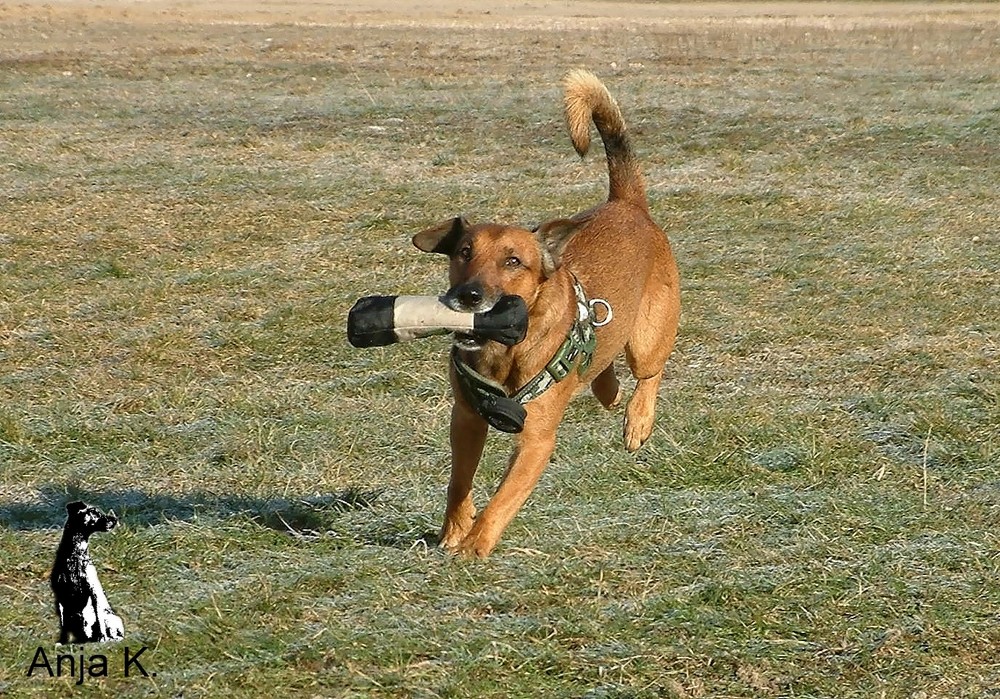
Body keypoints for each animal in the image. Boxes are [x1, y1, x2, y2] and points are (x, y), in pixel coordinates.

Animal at [412, 71, 680, 556]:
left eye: (514, 262)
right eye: (463, 253)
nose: (467, 295)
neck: (504, 352)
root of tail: (627, 204)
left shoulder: (535, 439)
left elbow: (503, 497)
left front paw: (475, 546)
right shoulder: (465, 420)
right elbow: (459, 483)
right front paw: (454, 532)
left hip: (649, 337)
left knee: (649, 373)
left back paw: (637, 420)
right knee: (603, 364)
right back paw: (606, 388)